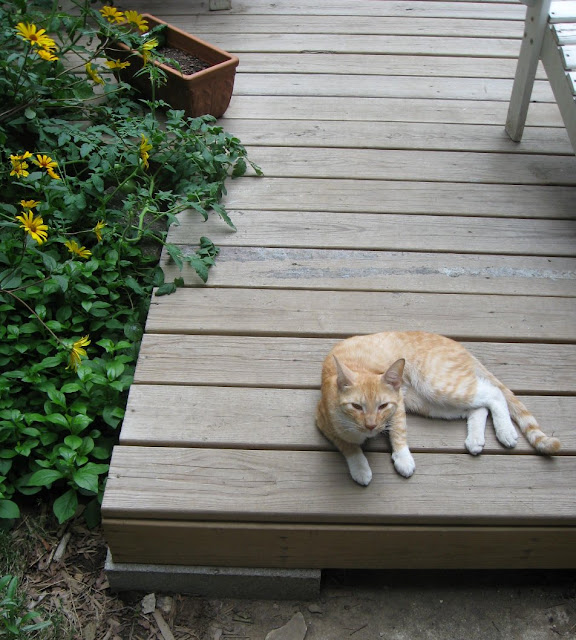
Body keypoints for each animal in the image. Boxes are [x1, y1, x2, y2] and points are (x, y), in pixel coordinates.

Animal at [318, 330, 560, 484]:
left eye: (383, 406)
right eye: (356, 406)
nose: (370, 425)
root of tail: (461, 347)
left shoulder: (399, 404)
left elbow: (399, 431)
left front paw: (403, 458)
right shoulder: (323, 421)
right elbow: (347, 445)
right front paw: (360, 466)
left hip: (439, 386)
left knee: (493, 393)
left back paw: (505, 431)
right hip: (430, 403)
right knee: (479, 406)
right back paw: (475, 439)